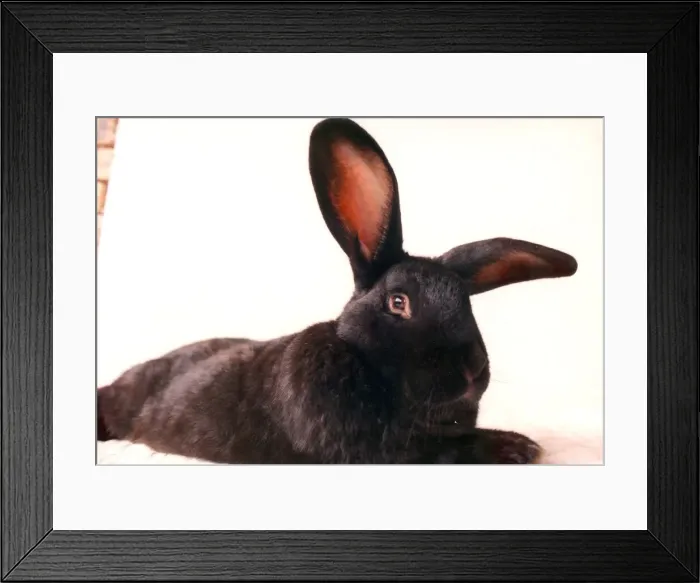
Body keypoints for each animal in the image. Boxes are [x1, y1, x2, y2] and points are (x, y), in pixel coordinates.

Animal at [97, 117, 578, 464]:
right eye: (398, 302)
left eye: (467, 303)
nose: (471, 369)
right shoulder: (378, 450)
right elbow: (444, 449)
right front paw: (513, 445)